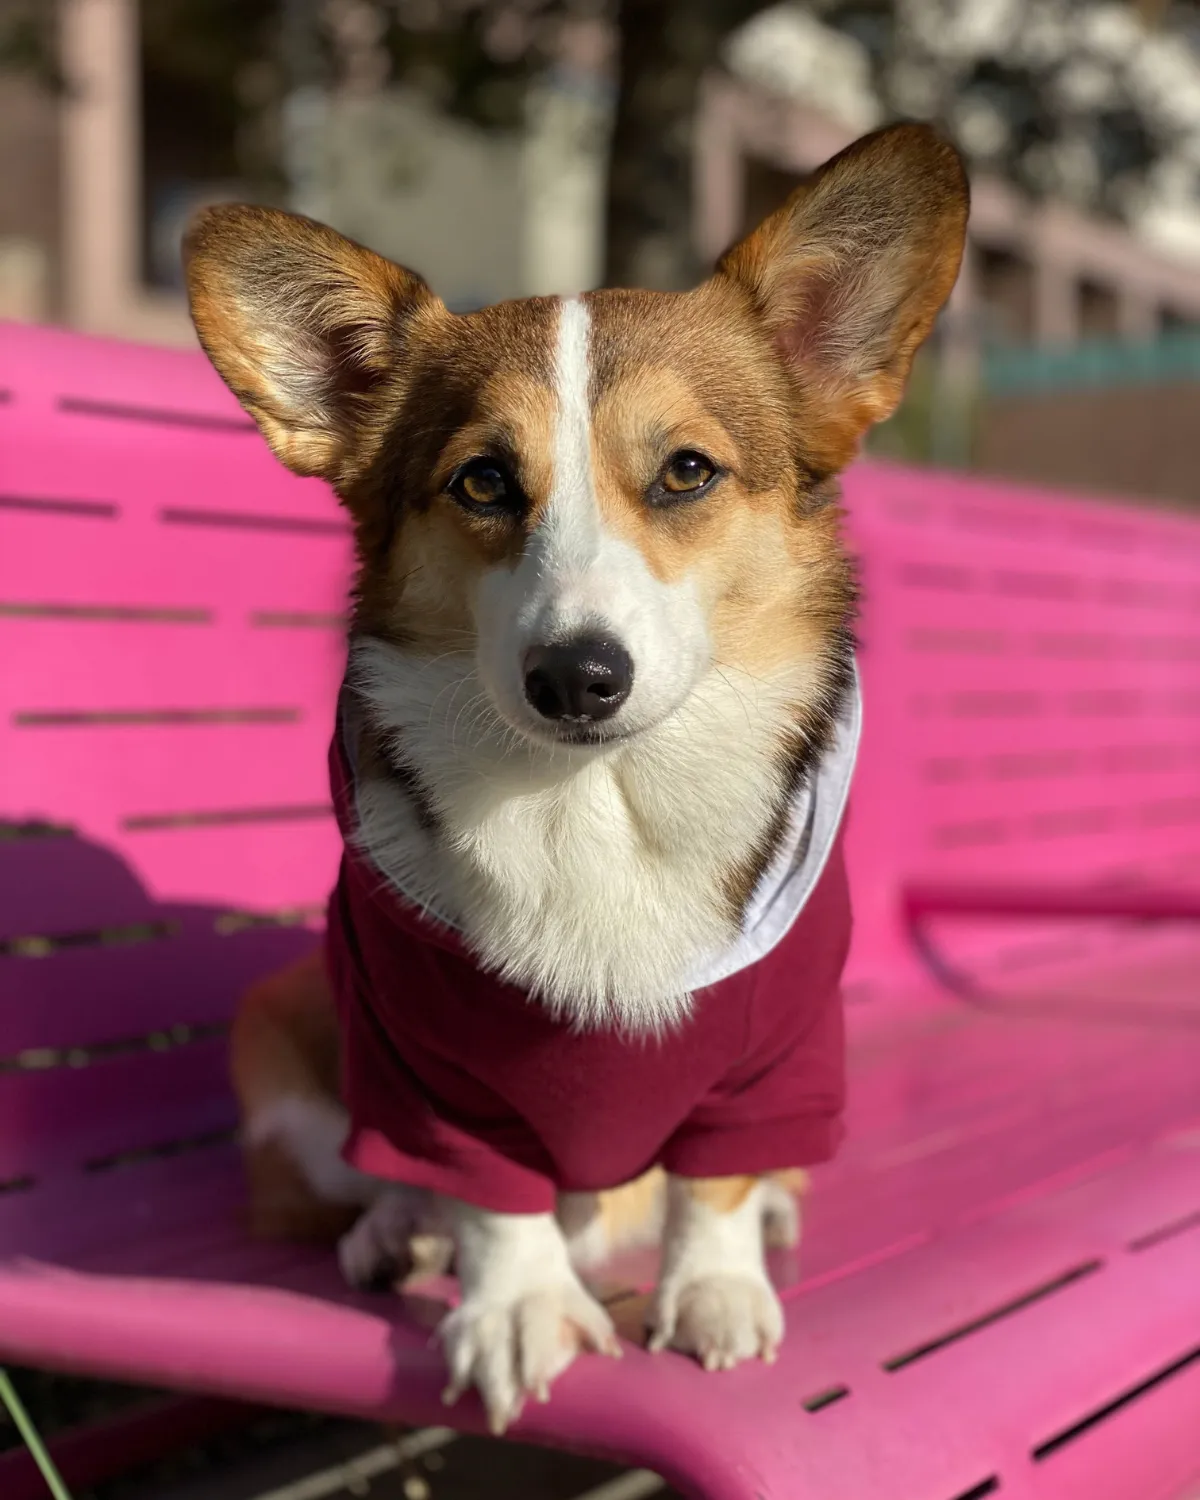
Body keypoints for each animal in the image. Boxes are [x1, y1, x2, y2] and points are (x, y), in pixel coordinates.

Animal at [185, 123, 966, 1434]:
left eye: (688, 471)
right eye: (483, 482)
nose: (577, 678)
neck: (597, 804)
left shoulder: (778, 1054)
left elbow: (713, 1182)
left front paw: (714, 1288)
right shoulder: (428, 1070)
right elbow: (491, 1198)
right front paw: (516, 1312)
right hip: (286, 1023)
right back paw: (395, 1234)